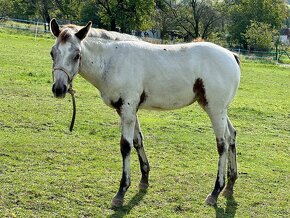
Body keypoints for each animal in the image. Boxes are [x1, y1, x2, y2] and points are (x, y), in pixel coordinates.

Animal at [49, 19, 240, 208]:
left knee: (222, 144)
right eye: (52, 53)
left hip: (215, 109)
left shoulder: (127, 109)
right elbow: (138, 141)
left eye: (76, 55)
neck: (113, 60)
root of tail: (232, 55)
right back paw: (230, 185)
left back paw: (215, 192)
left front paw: (121, 192)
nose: (59, 89)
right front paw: (144, 180)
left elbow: (125, 146)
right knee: (231, 135)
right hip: (220, 110)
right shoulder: (128, 110)